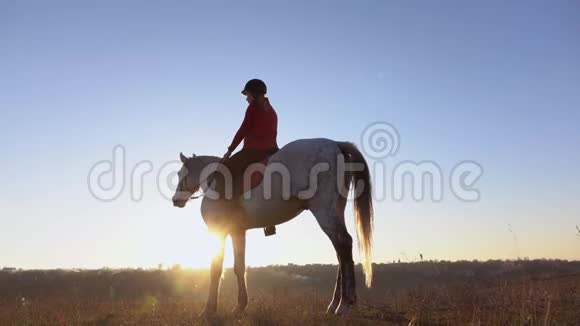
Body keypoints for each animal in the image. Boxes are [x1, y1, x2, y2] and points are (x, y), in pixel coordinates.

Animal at [170, 138, 374, 316]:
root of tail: (335, 144)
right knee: (341, 252)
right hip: (336, 210)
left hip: (323, 212)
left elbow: (215, 269)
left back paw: (345, 304)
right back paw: (334, 304)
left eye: (181, 174)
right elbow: (239, 267)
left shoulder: (219, 232)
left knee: (343, 243)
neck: (214, 179)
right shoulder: (238, 232)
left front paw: (209, 310)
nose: (175, 200)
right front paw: (240, 306)